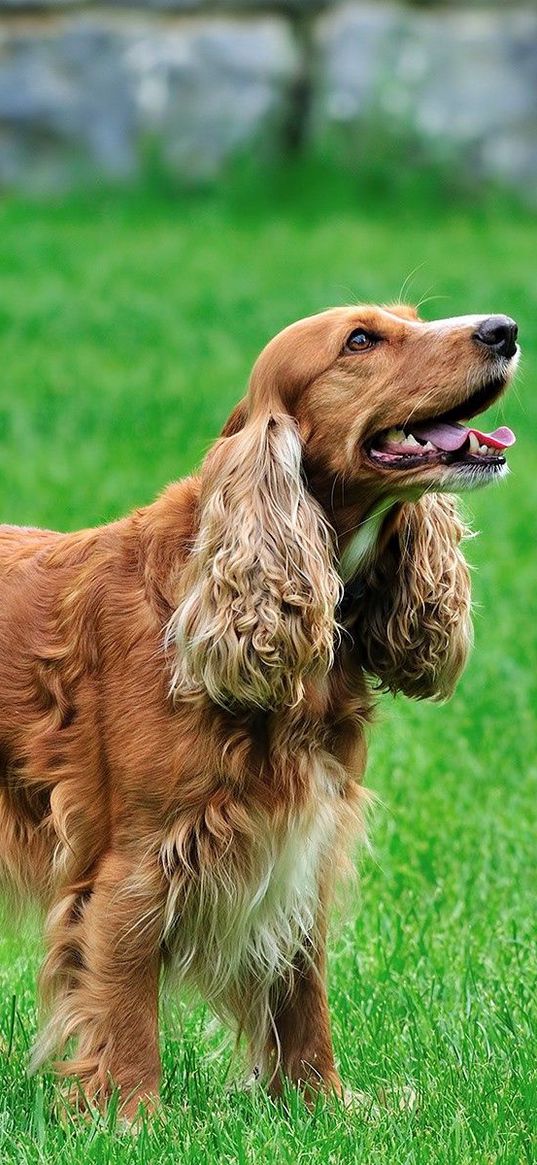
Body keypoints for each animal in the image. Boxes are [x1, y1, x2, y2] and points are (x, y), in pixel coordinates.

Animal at [1, 305, 519, 1113]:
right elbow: (124, 994)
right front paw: (132, 1115)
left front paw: (322, 1103)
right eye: (361, 340)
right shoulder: (135, 858)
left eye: (412, 318)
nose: (503, 328)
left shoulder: (302, 834)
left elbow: (302, 987)